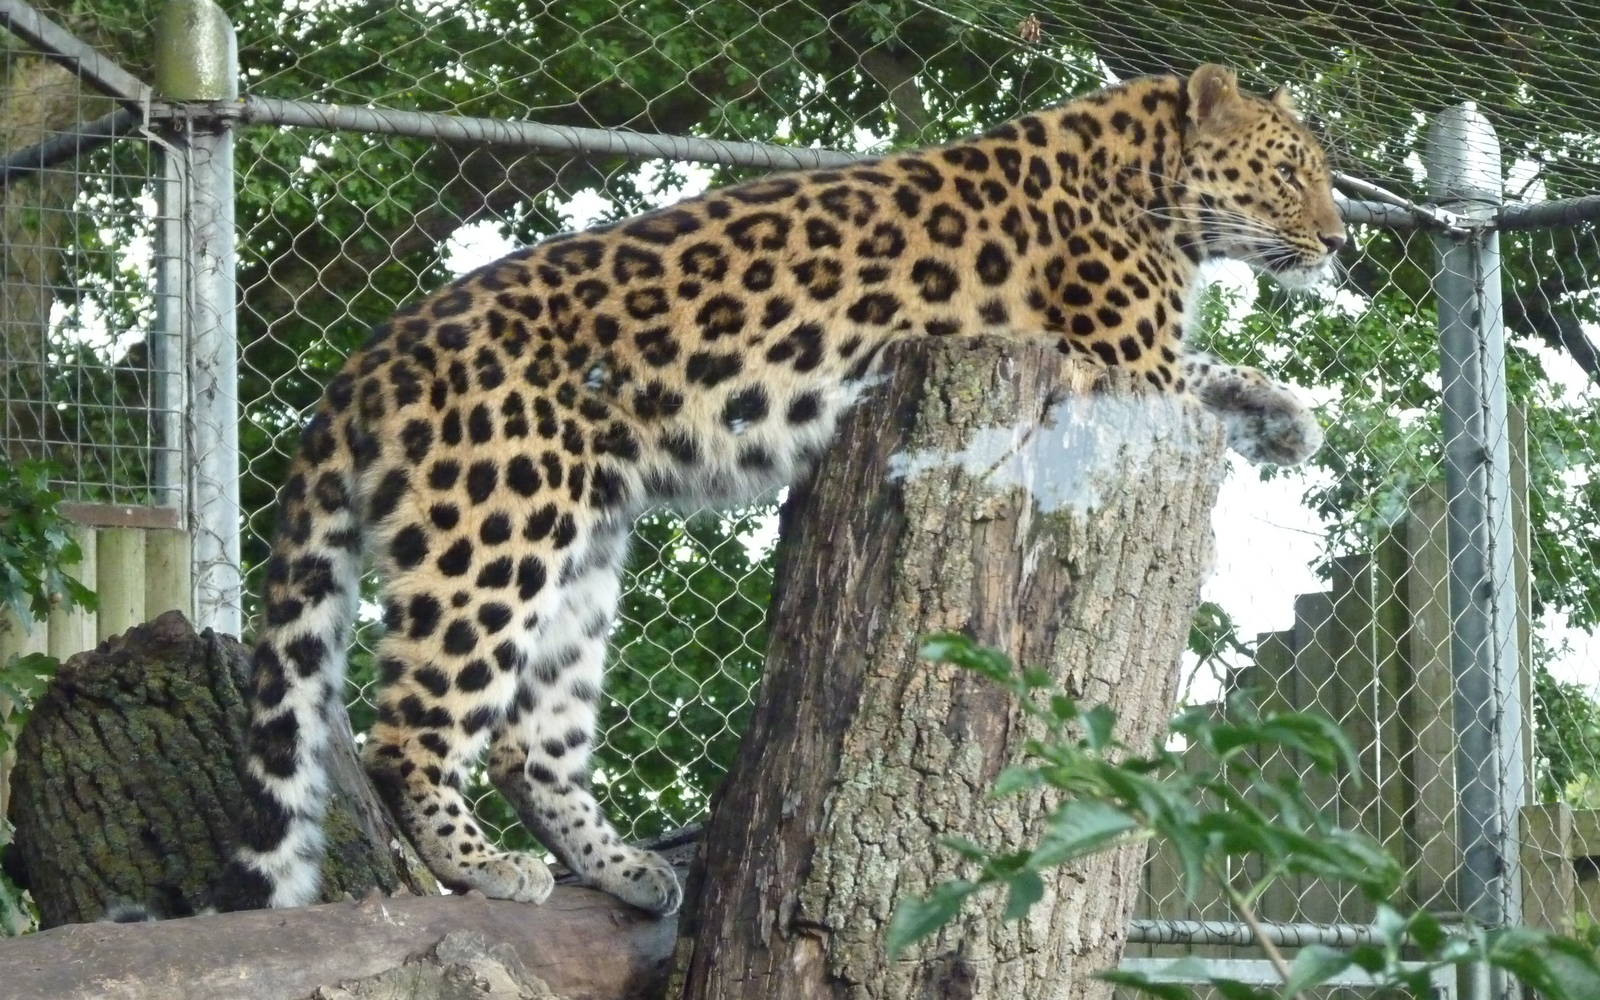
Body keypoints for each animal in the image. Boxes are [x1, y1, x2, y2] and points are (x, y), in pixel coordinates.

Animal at [216, 63, 1343, 917]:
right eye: (1291, 171)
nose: (1339, 241)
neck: (1144, 174)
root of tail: (372, 356)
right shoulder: (1124, 364)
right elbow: (1192, 372)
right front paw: (1276, 410)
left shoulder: (1139, 366)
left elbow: (1214, 369)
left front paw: (1285, 412)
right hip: (496, 523)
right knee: (410, 727)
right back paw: (484, 867)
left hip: (583, 543)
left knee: (531, 743)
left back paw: (627, 872)